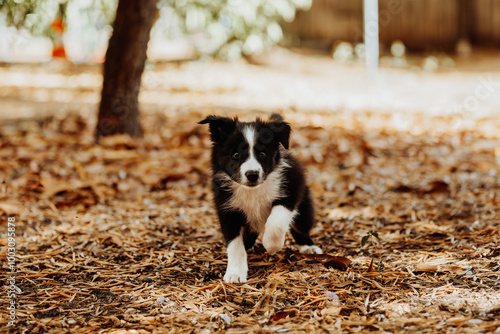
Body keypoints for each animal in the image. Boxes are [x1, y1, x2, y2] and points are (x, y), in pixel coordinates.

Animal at [197, 114, 322, 282]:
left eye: (262, 154)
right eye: (236, 155)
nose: (252, 174)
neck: (252, 191)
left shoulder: (292, 187)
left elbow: (277, 220)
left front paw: (272, 245)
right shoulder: (226, 208)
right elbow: (234, 243)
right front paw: (235, 272)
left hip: (304, 210)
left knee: (300, 227)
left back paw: (308, 246)